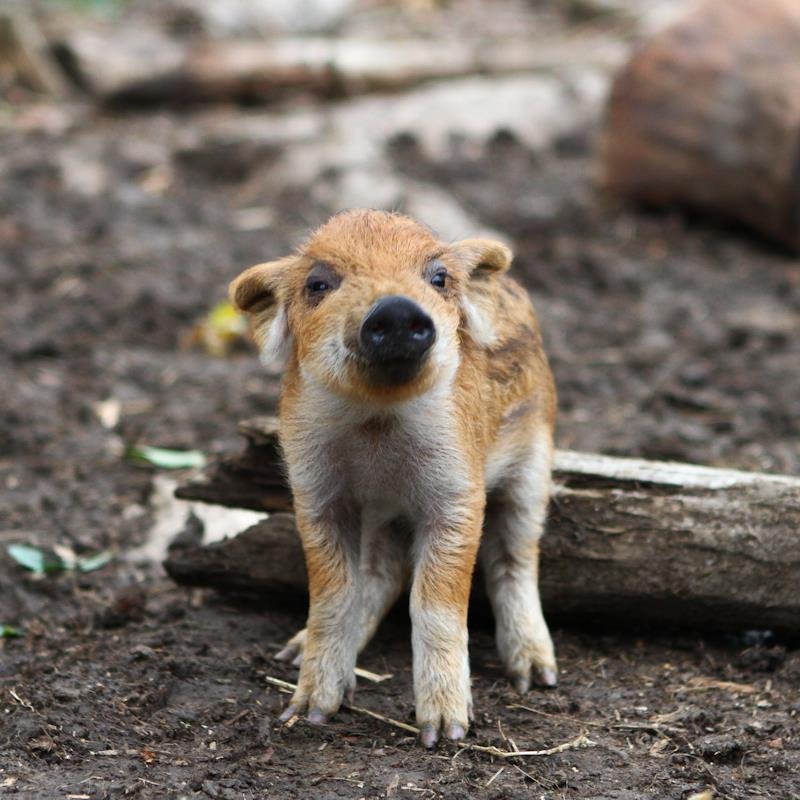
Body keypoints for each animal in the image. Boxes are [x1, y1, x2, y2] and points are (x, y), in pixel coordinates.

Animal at [229, 209, 557, 747]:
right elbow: (334, 594)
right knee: (380, 573)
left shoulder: (458, 493)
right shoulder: (315, 493)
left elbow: (434, 603)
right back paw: (291, 654)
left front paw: (444, 734)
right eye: (318, 283)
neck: (377, 428)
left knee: (516, 556)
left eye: (438, 278)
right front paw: (307, 713)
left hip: (534, 463)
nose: (398, 308)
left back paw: (538, 677)